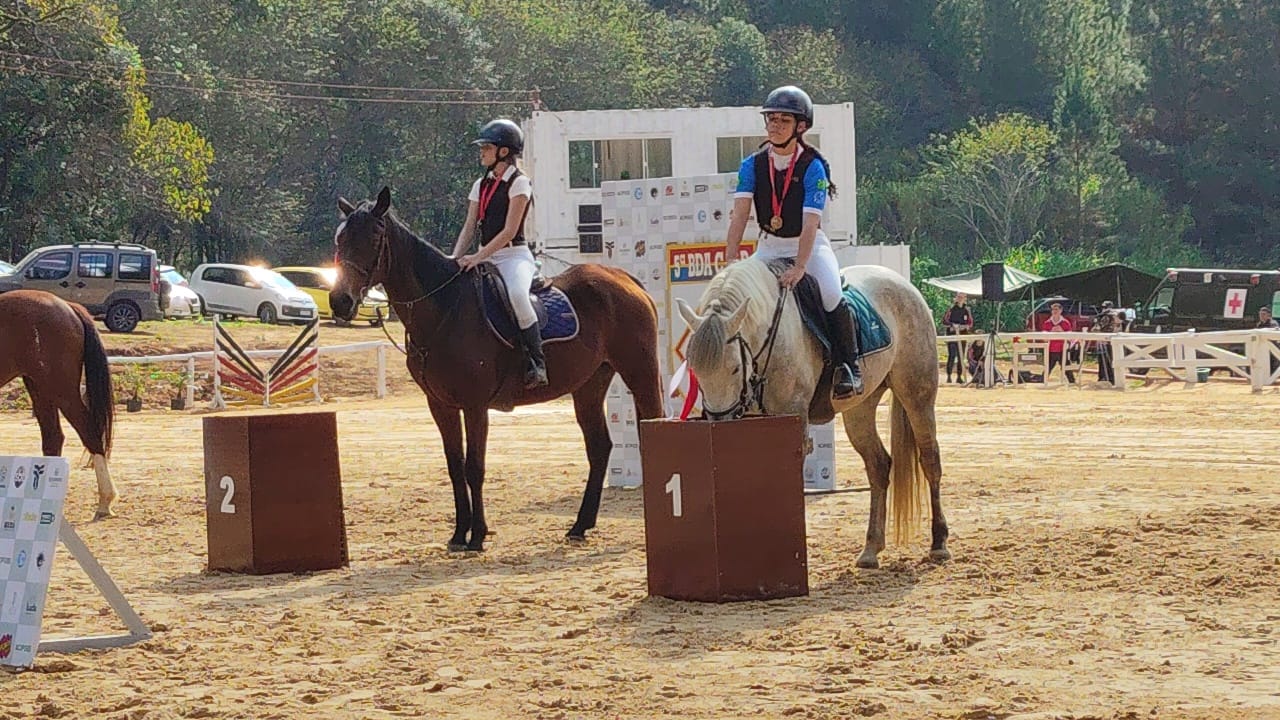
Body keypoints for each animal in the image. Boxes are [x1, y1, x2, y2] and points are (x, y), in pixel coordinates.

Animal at [0, 289, 116, 515]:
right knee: (53, 438)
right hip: (40, 388)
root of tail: (69, 306)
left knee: (89, 433)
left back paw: (104, 500)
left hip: (62, 391)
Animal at [330, 184, 660, 548]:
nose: (340, 301)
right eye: (340, 239)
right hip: (589, 384)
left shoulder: (475, 405)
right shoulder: (441, 405)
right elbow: (454, 466)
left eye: (374, 238)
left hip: (640, 371)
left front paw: (477, 535)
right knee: (599, 447)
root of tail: (623, 278)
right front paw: (459, 534)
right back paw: (580, 525)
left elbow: (474, 467)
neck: (444, 310)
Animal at [675, 256, 947, 566]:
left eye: (733, 368)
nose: (720, 420)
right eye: (696, 371)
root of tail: (904, 284)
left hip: (917, 396)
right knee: (878, 466)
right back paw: (870, 549)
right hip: (860, 410)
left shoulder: (794, 420)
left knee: (930, 460)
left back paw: (938, 543)